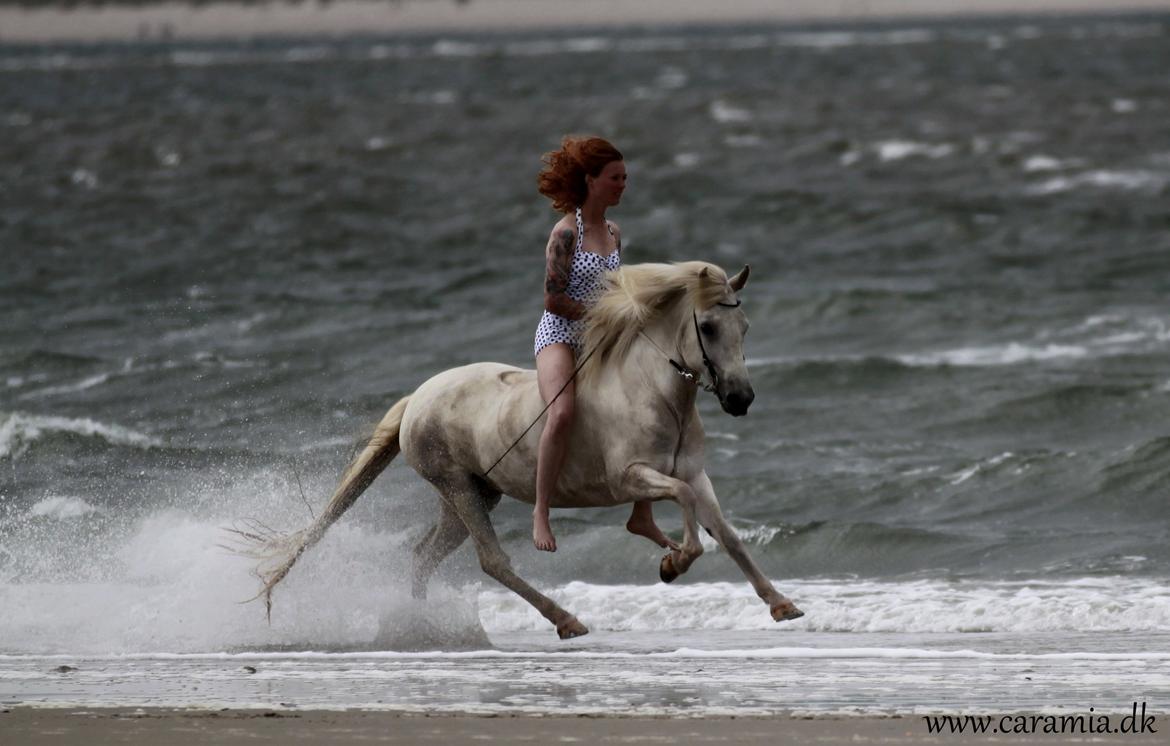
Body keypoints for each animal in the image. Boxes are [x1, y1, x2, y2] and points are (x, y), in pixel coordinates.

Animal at [246, 261, 804, 636]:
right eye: (707, 327)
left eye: (745, 327)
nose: (740, 399)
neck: (656, 395)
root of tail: (418, 397)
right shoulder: (633, 475)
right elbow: (689, 514)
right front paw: (675, 563)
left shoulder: (693, 474)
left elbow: (728, 535)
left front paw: (781, 604)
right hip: (457, 488)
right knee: (493, 561)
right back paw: (566, 620)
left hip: (473, 494)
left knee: (424, 555)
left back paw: (420, 625)